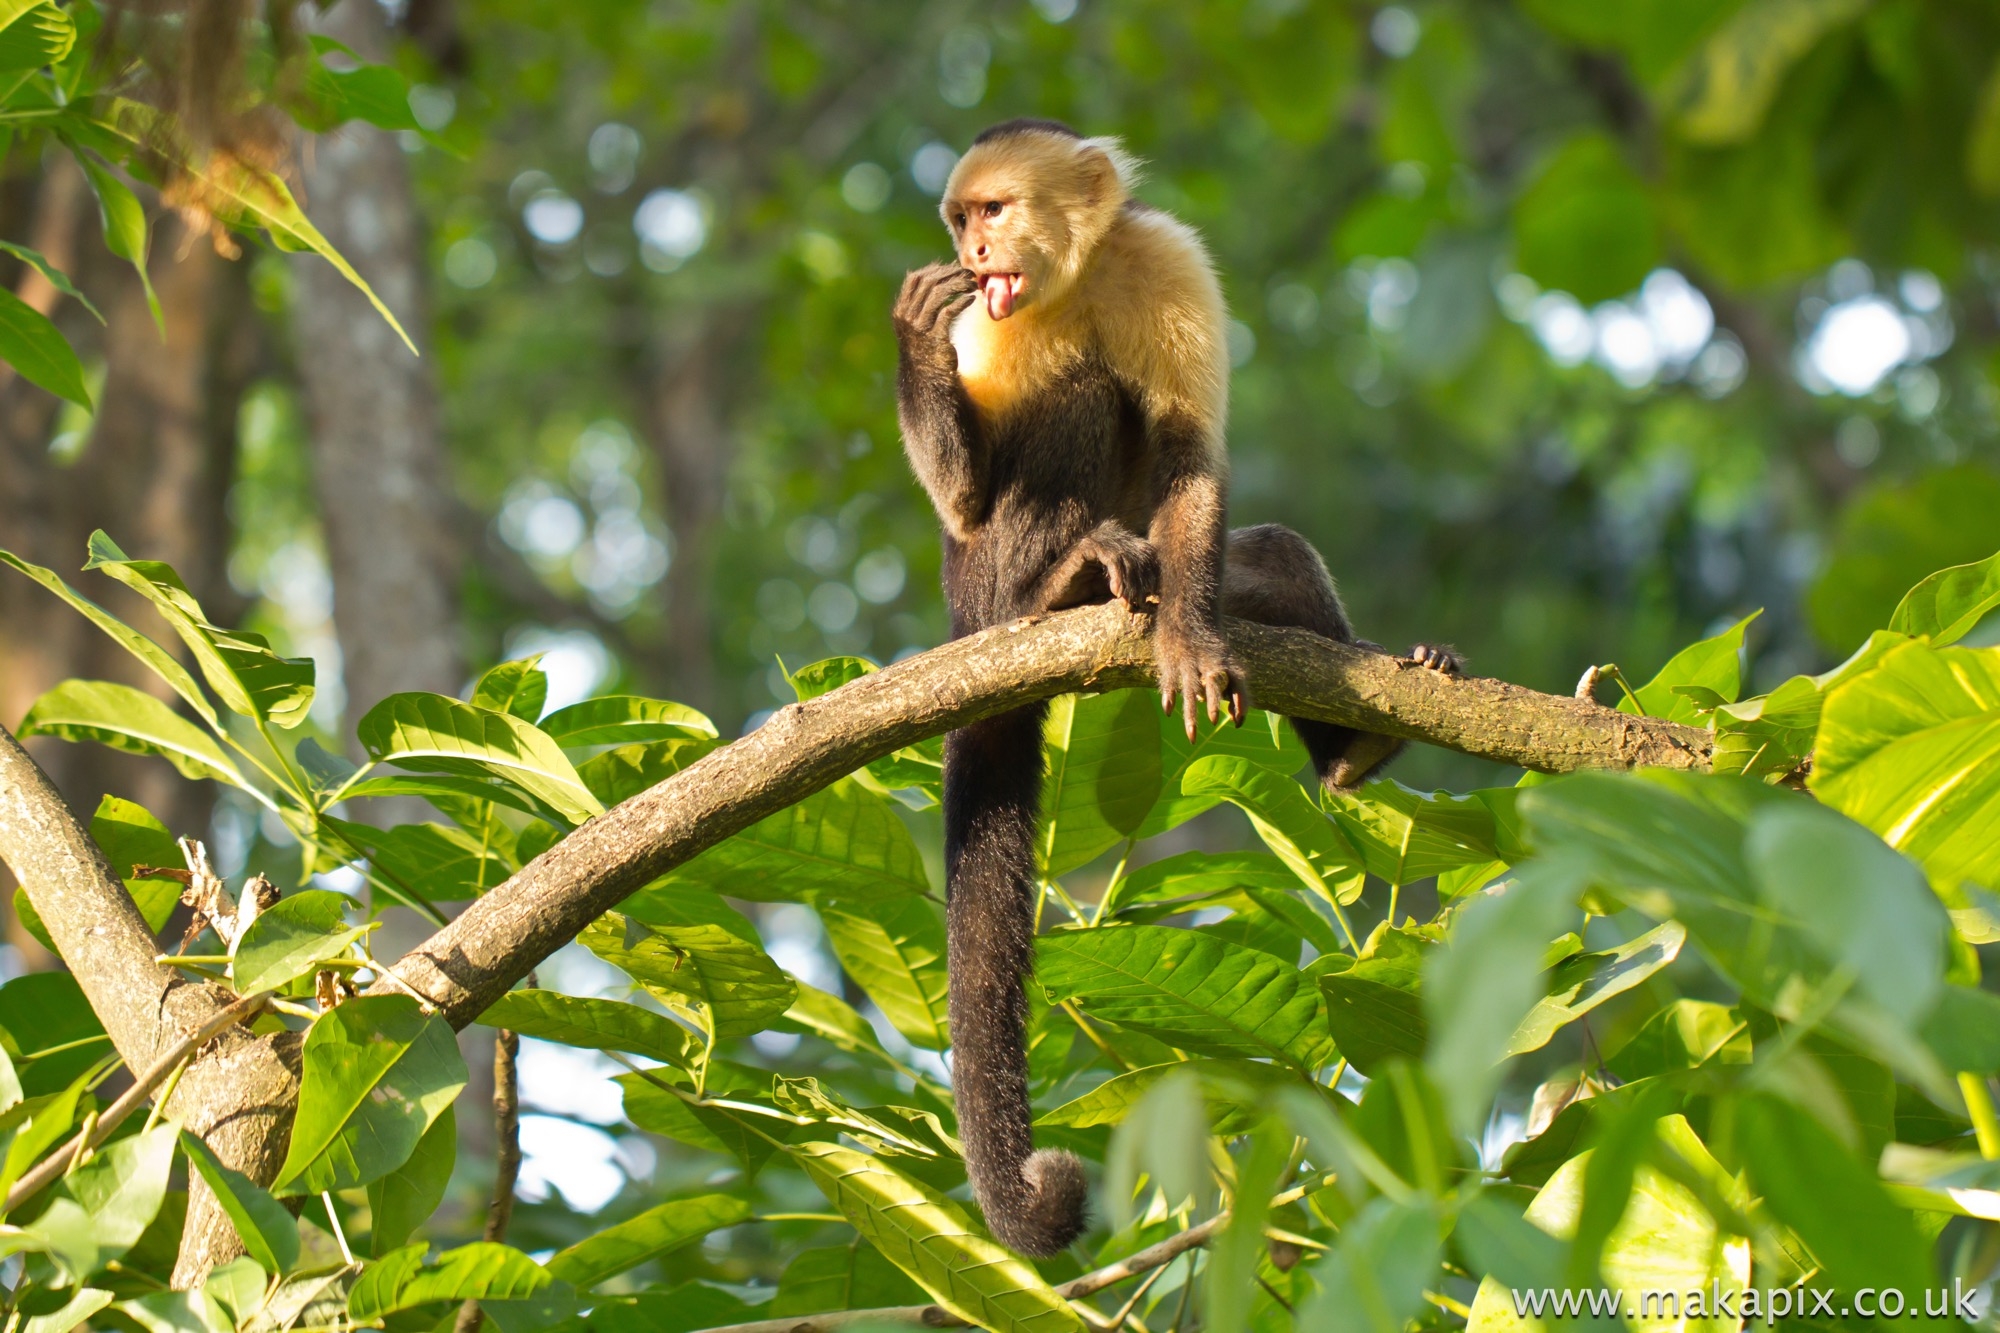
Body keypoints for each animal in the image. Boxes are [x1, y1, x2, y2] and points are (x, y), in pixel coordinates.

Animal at [900, 119, 1464, 1248]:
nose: (973, 255)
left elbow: (1190, 456)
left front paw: (1199, 643)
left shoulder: (1166, 259)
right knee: (1073, 404)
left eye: (990, 212)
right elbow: (968, 492)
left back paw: (1353, 745)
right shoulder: (989, 335)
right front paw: (913, 342)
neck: (1078, 276)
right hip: (976, 592)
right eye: (959, 221)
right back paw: (1060, 584)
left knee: (1268, 555)